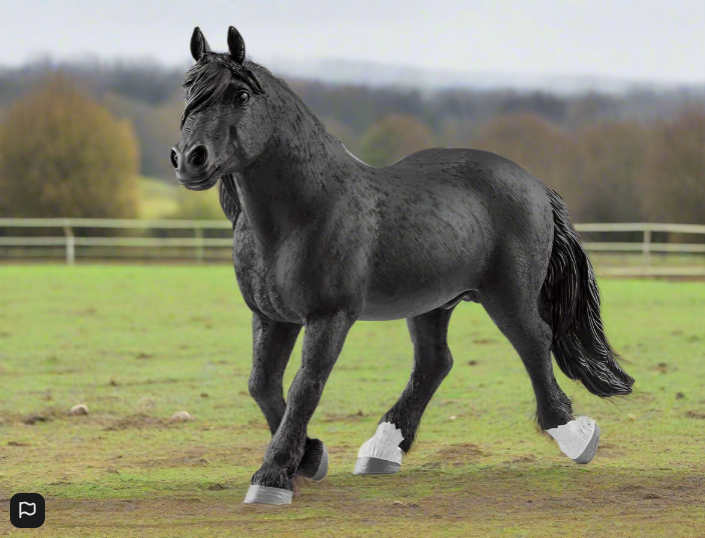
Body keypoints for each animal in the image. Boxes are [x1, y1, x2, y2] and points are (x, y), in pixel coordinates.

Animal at [171, 26, 635, 505]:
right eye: (188, 89)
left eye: (241, 94)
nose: (190, 158)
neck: (303, 213)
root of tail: (534, 184)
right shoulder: (271, 317)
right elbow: (262, 385)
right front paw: (310, 458)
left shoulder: (329, 317)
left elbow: (306, 385)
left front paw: (273, 475)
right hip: (433, 302)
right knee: (435, 362)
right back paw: (383, 448)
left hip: (508, 294)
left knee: (533, 342)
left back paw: (574, 435)